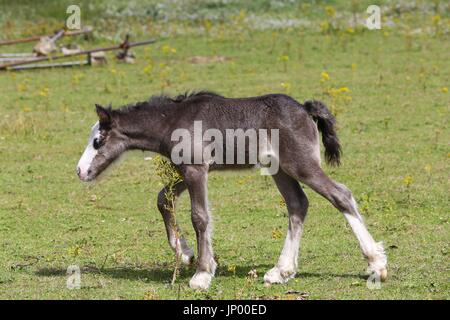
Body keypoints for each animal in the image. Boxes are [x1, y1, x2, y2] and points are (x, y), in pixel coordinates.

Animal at [77, 91, 386, 288]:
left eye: (97, 141)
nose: (80, 171)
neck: (172, 120)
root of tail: (304, 109)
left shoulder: (196, 169)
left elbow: (200, 217)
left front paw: (202, 274)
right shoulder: (188, 170)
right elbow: (162, 199)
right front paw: (185, 253)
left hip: (301, 165)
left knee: (340, 195)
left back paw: (376, 265)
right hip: (280, 170)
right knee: (298, 204)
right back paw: (281, 271)